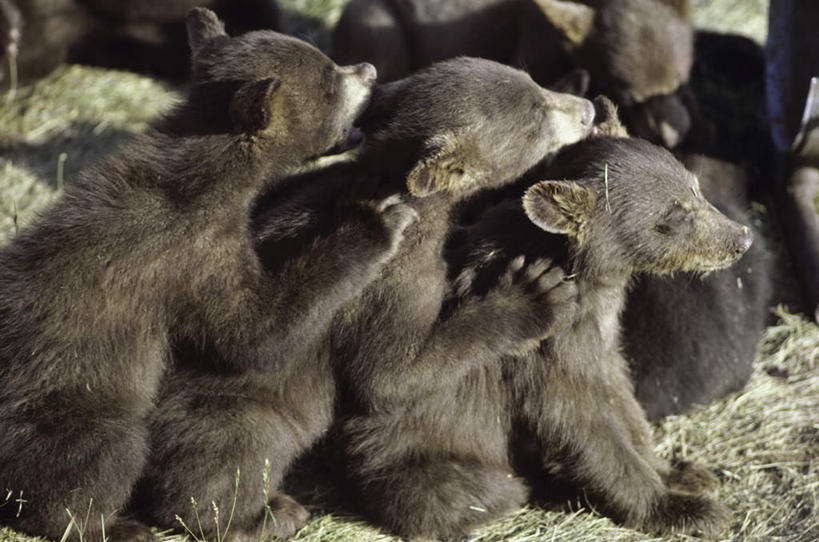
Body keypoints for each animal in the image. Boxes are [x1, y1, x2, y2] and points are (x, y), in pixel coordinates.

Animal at [0, 9, 378, 542]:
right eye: (328, 82)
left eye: (327, 61)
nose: (368, 69)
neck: (210, 167)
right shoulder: (190, 250)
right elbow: (253, 333)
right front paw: (376, 221)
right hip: (68, 402)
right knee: (101, 456)